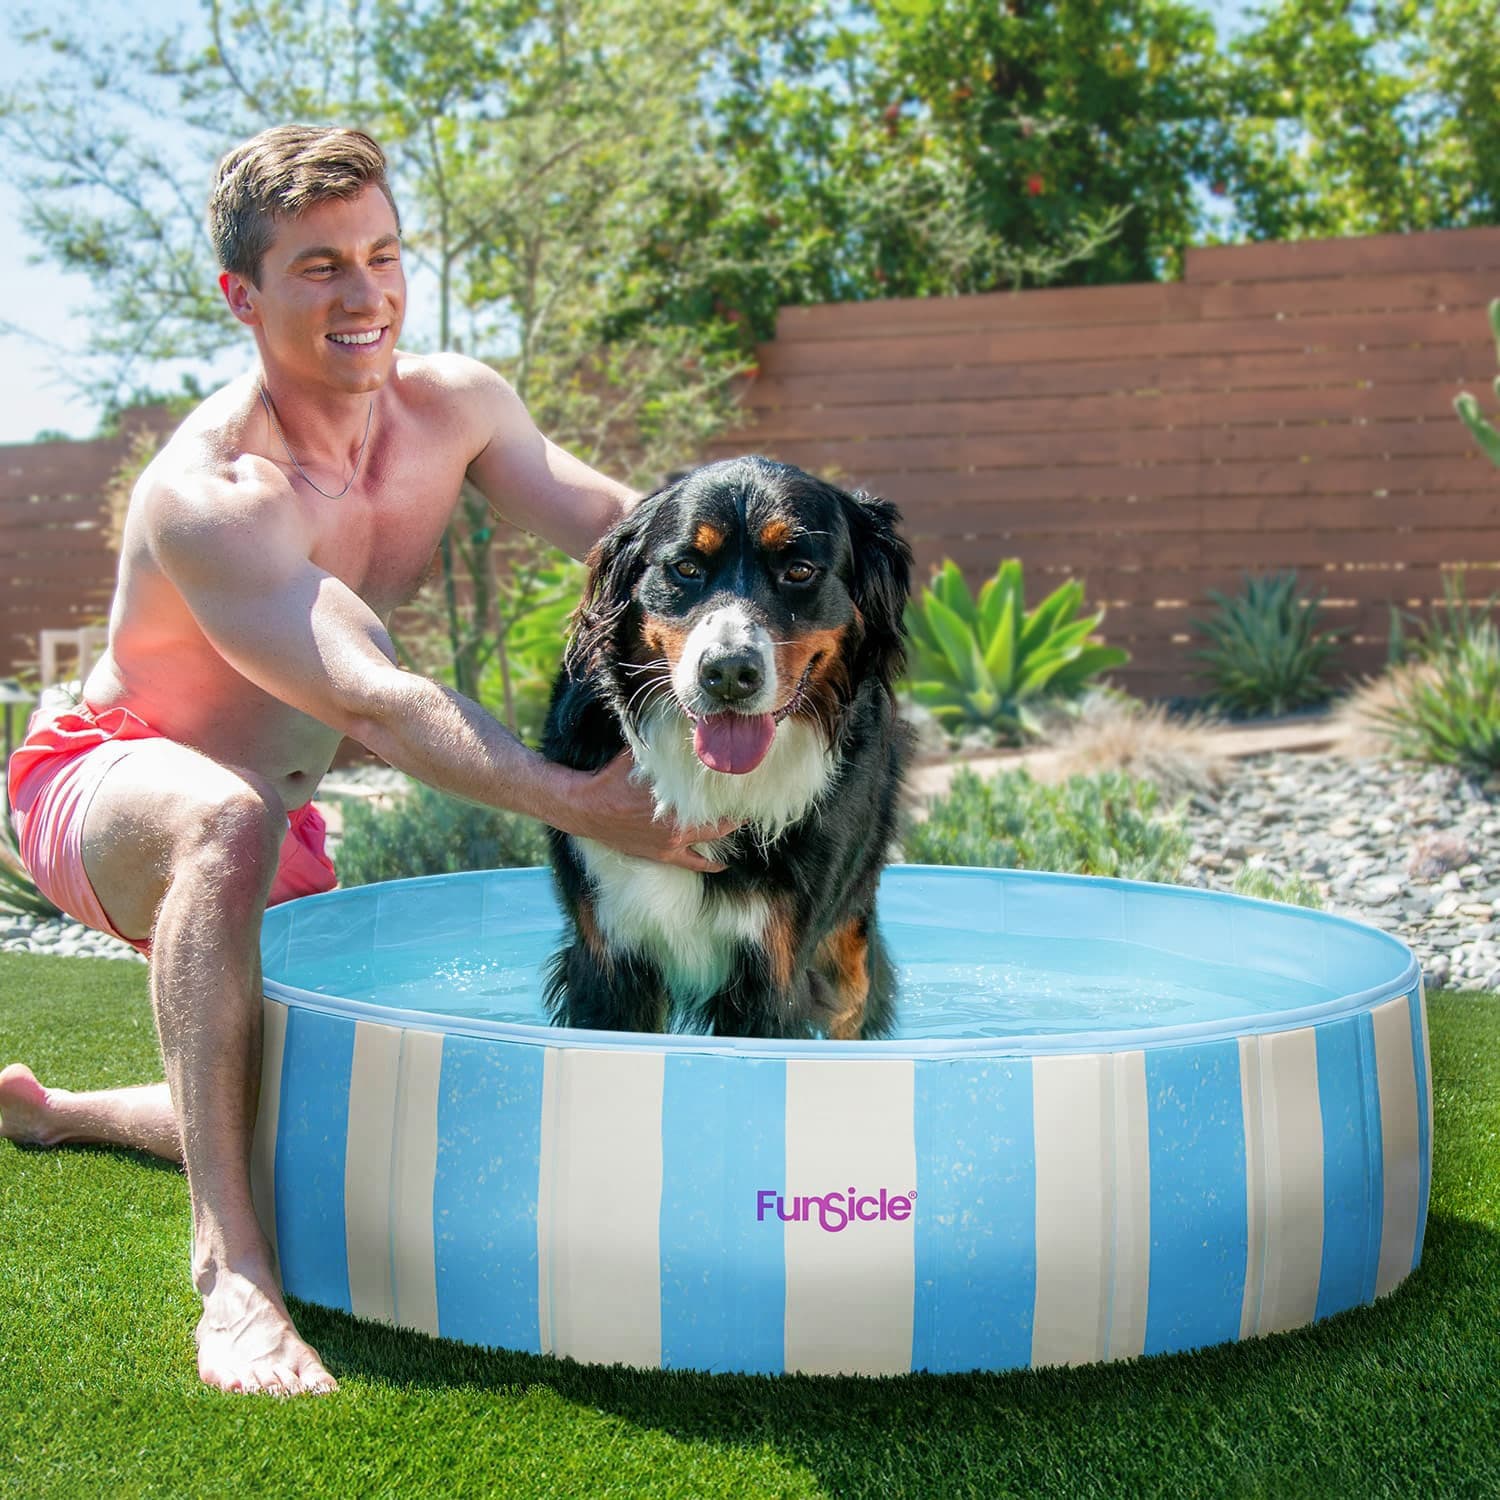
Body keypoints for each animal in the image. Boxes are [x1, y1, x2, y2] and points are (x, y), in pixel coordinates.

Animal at [543, 453, 912, 1044]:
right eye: (687, 568)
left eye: (799, 571)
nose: (729, 674)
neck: (710, 781)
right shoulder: (608, 957)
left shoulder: (773, 971)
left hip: (845, 956)